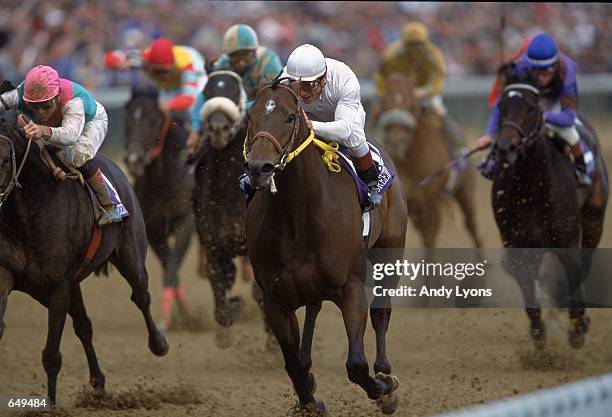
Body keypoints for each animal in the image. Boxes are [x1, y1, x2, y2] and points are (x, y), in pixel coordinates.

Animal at [243, 79, 406, 412]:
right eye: (250, 116)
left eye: (291, 117)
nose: (258, 168)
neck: (298, 214)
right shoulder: (275, 298)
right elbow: (292, 363)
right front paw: (308, 398)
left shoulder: (351, 286)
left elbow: (356, 364)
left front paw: (384, 388)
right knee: (314, 310)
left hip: (391, 252)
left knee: (381, 313)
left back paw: (385, 372)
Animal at [378, 72, 482, 249]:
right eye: (385, 105)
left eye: (412, 106)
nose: (395, 143)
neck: (411, 161)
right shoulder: (412, 205)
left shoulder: (432, 203)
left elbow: (430, 236)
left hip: (465, 191)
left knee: (471, 225)